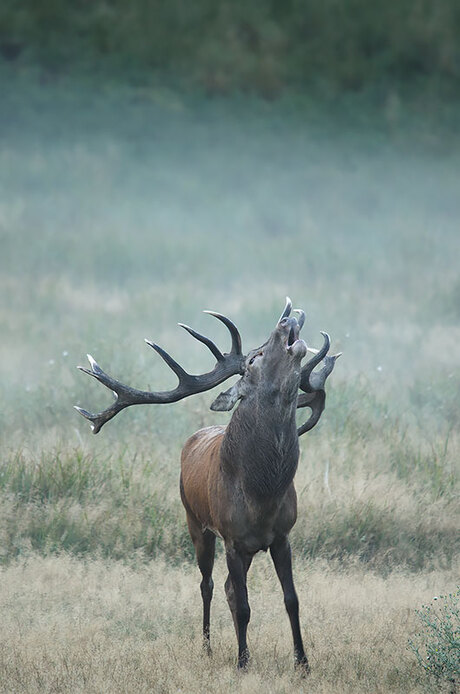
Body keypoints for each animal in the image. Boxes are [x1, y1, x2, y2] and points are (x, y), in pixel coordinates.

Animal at [75, 300, 340, 676]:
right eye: (255, 358)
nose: (287, 319)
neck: (262, 493)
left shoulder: (282, 536)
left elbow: (292, 600)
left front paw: (303, 664)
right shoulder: (231, 537)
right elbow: (243, 605)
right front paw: (243, 662)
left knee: (228, 587)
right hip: (195, 522)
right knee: (208, 585)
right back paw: (208, 647)